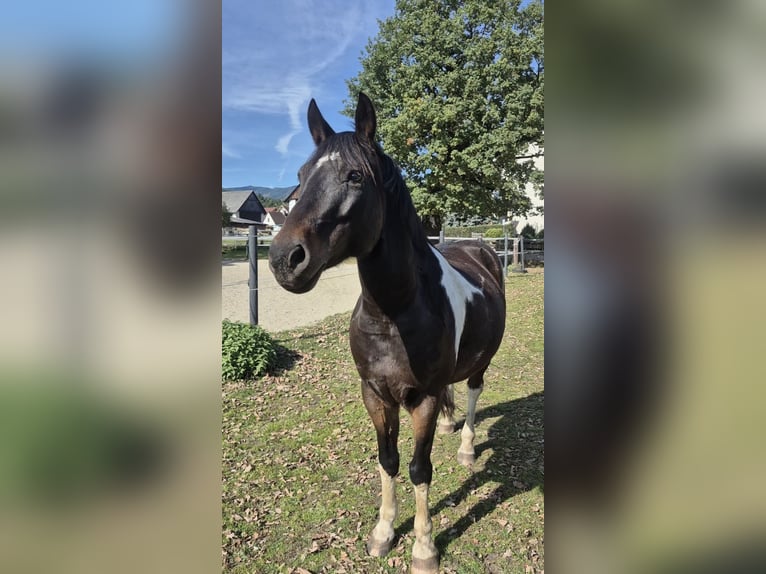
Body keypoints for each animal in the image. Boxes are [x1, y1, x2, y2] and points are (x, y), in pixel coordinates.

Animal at [268, 92, 506, 574]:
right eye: (301, 176)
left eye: (355, 176)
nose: (285, 258)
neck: (394, 315)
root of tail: (482, 248)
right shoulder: (375, 394)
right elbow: (388, 460)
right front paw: (382, 533)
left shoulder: (423, 397)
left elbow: (419, 468)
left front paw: (424, 547)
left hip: (481, 362)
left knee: (473, 392)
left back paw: (467, 448)